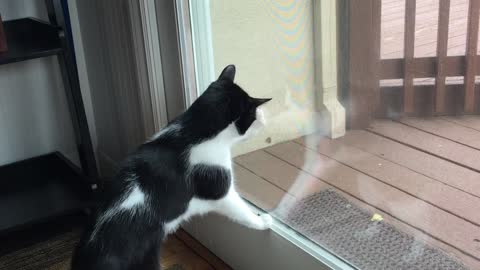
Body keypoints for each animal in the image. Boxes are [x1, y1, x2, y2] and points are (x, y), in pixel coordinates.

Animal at [71, 64, 274, 268]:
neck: (192, 131)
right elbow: (240, 209)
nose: (264, 119)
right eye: (254, 115)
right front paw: (262, 221)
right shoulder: (219, 187)